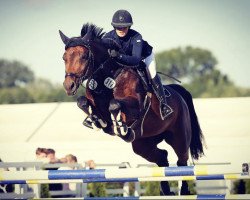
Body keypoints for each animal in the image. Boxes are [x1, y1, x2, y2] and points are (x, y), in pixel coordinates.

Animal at [59, 23, 204, 195]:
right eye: (64, 57)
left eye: (84, 57)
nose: (69, 86)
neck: (107, 77)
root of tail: (179, 94)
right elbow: (82, 102)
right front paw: (96, 121)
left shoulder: (135, 107)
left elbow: (114, 104)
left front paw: (121, 128)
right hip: (142, 144)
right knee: (162, 157)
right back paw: (166, 191)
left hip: (179, 137)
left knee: (182, 162)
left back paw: (183, 191)